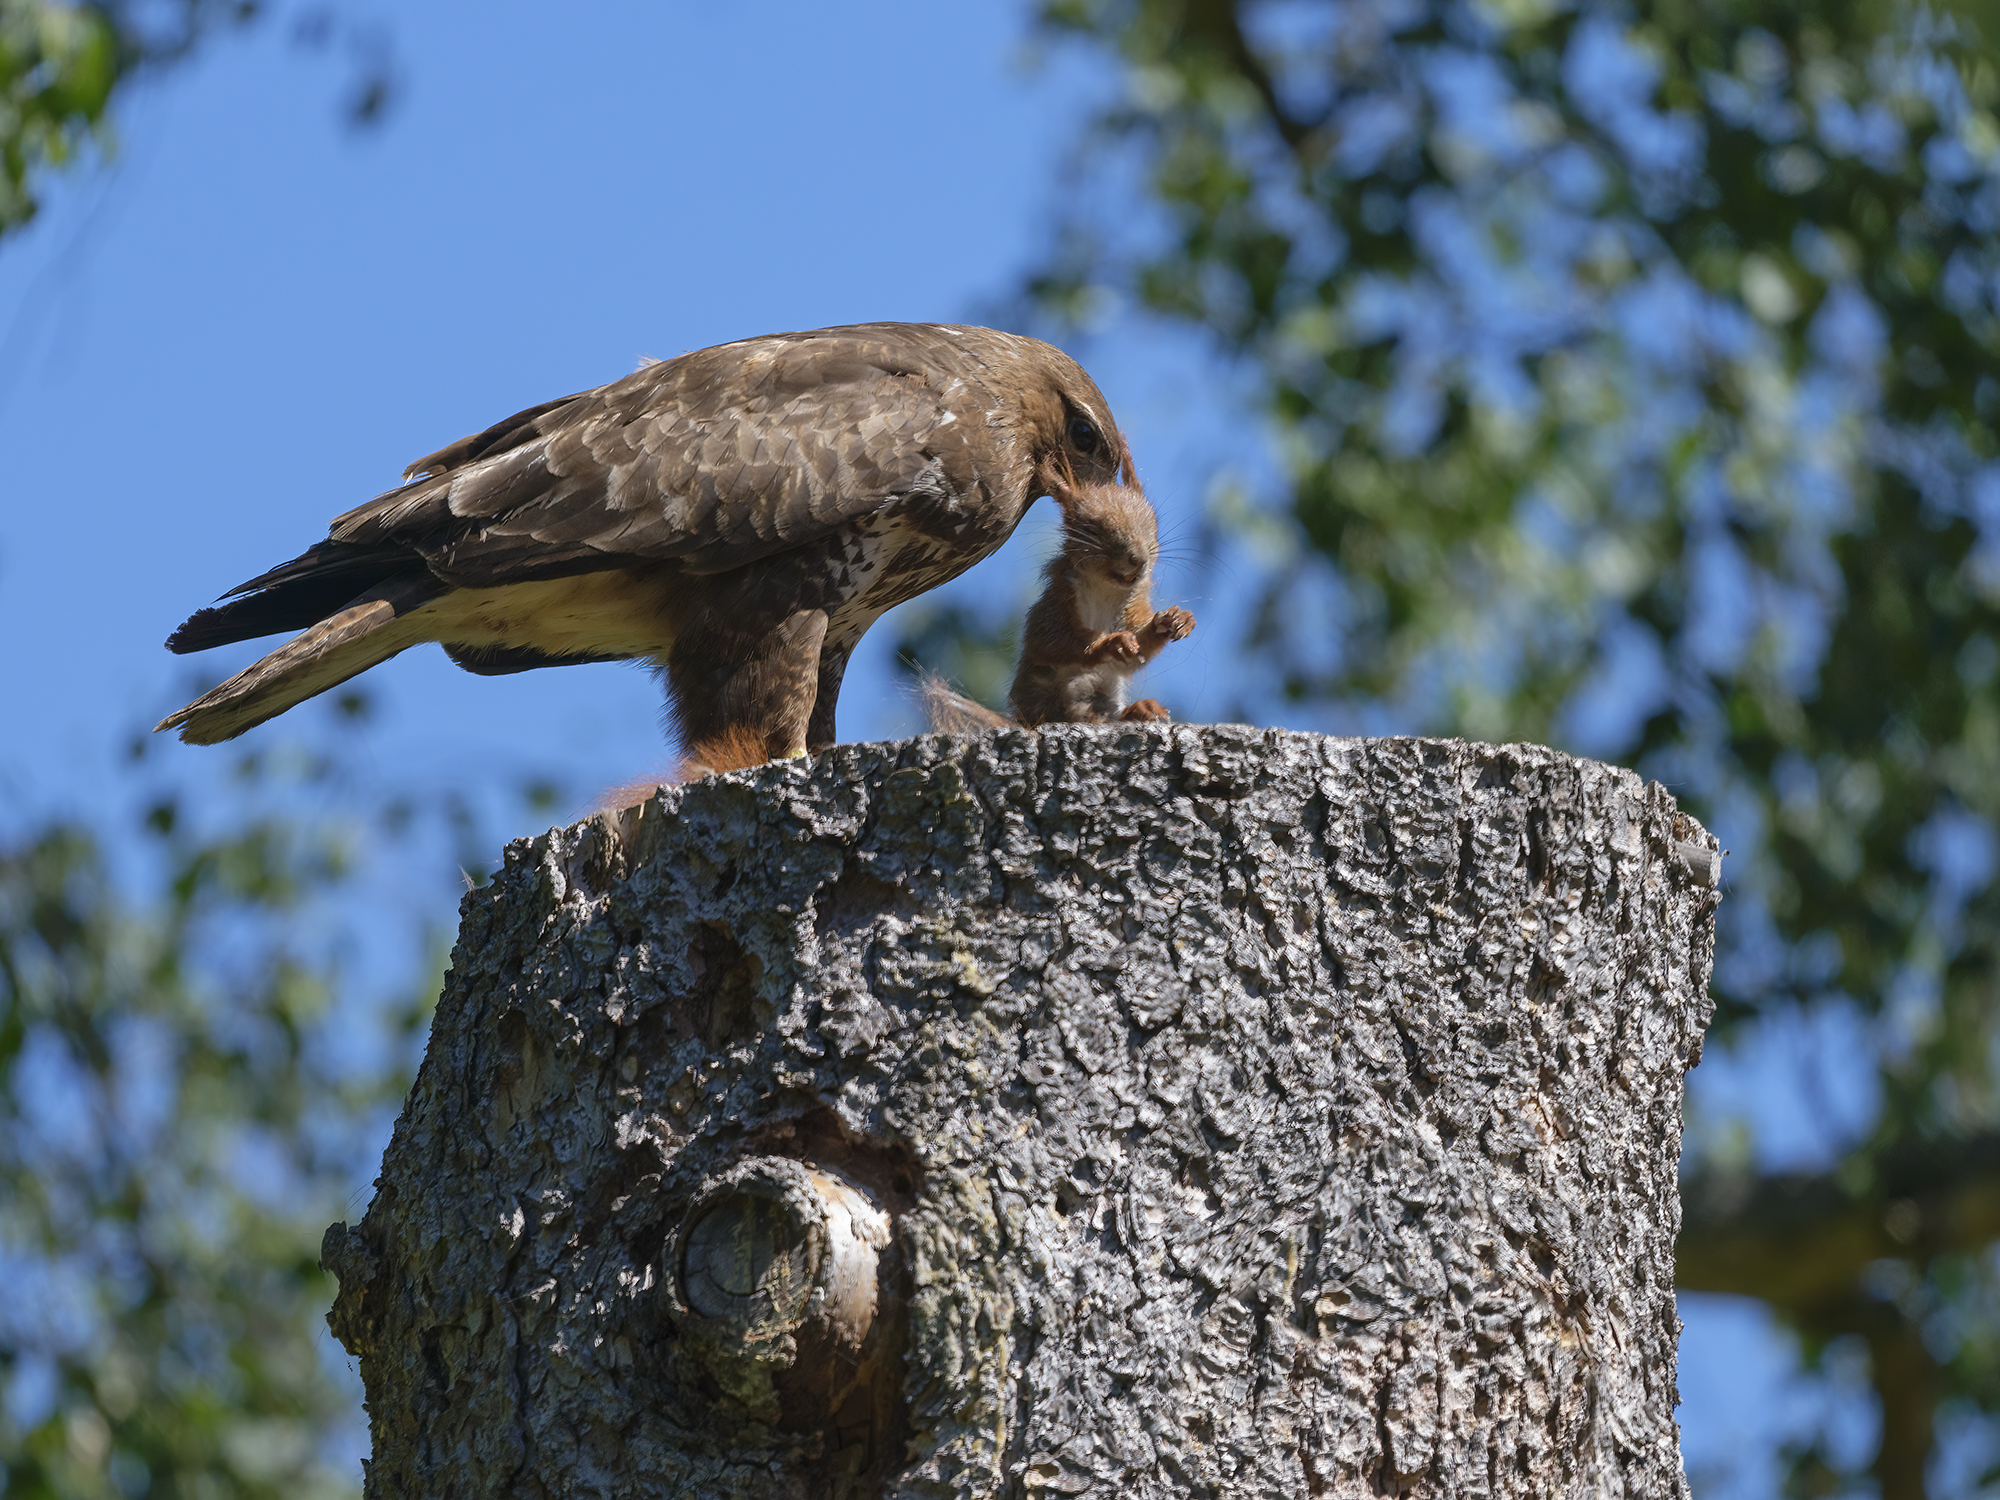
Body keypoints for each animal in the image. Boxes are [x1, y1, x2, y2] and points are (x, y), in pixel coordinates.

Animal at [923, 473, 1194, 731]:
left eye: (1153, 525)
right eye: (1091, 529)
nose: (1138, 559)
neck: (1105, 590)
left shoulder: (1130, 608)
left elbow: (1137, 652)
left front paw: (1173, 621)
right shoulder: (1055, 605)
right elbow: (1051, 641)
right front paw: (1110, 643)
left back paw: (1141, 709)